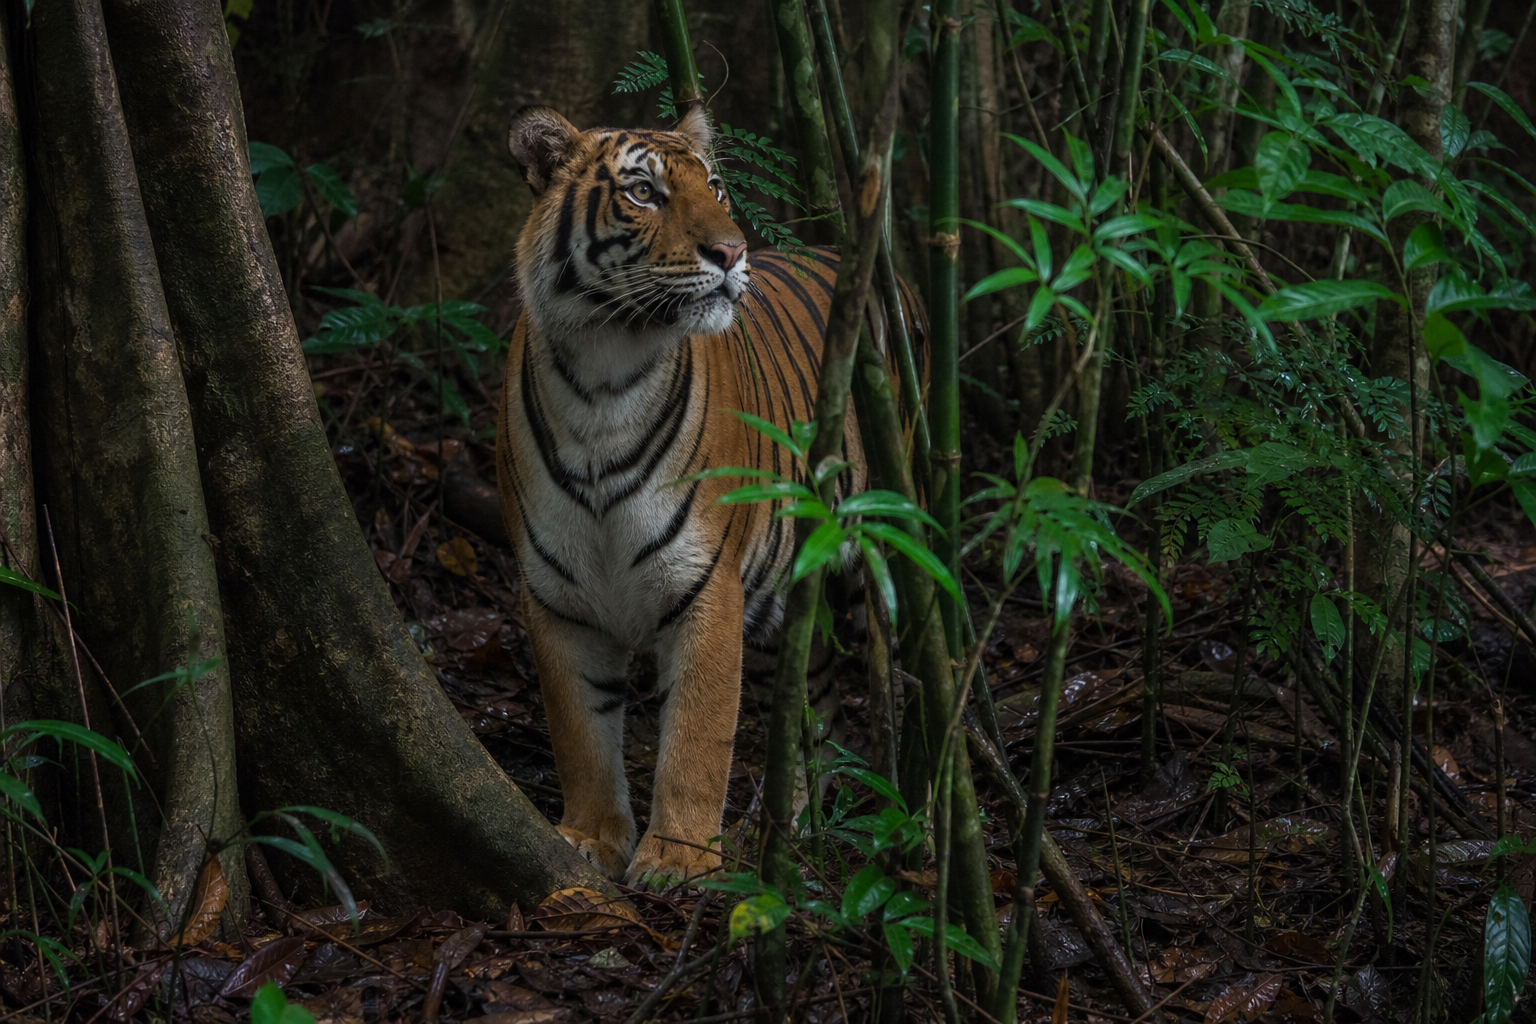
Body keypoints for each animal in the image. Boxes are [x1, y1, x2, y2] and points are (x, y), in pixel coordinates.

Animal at [496, 104, 918, 888]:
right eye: (644, 192)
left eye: (715, 187)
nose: (731, 251)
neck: (603, 379)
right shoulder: (557, 600)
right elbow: (580, 731)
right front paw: (592, 838)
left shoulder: (705, 585)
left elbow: (698, 734)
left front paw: (679, 858)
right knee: (813, 706)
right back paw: (794, 828)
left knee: (895, 686)